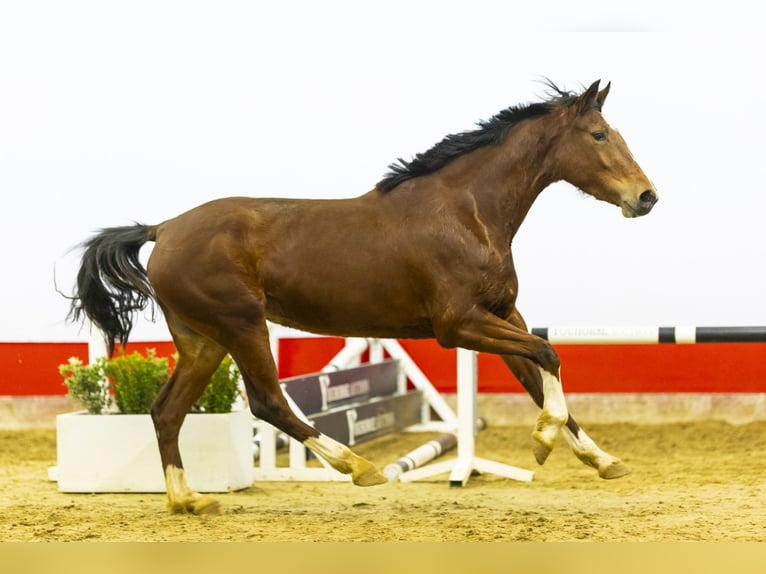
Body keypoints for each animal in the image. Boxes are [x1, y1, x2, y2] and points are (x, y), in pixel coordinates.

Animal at [69, 80, 660, 512]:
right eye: (599, 135)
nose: (646, 196)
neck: (468, 212)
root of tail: (163, 228)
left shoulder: (501, 313)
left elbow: (538, 378)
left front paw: (601, 460)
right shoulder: (459, 325)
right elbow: (548, 354)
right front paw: (542, 441)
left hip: (202, 339)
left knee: (166, 410)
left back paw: (188, 500)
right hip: (240, 325)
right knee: (268, 402)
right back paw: (359, 468)